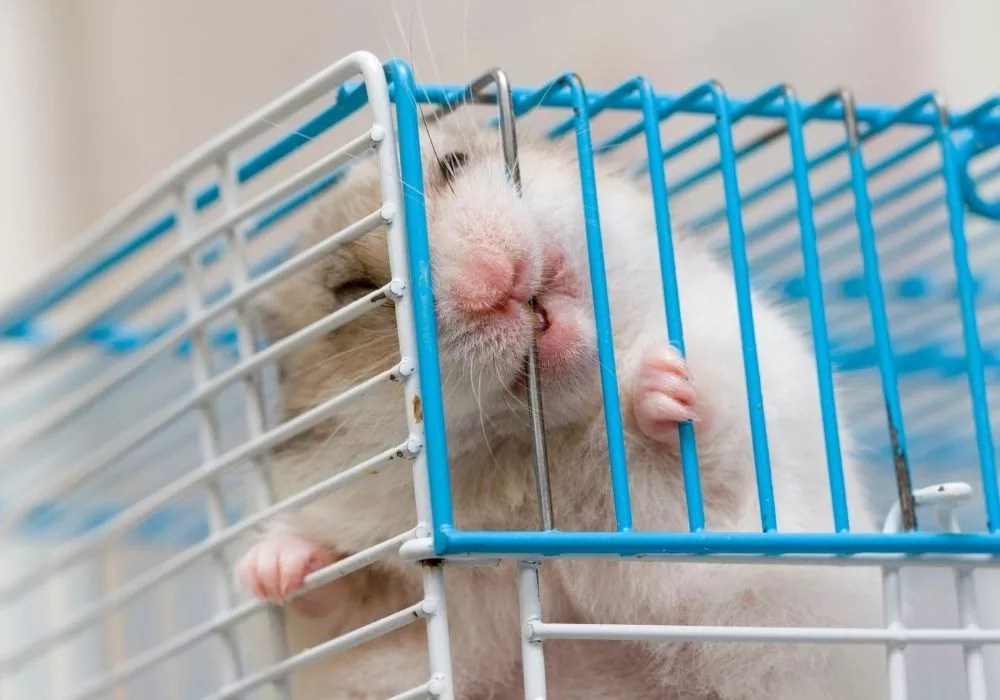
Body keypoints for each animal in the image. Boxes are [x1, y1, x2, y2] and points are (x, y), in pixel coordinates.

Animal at [234, 119, 887, 699]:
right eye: (355, 293)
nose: (489, 282)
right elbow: (339, 596)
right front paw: (270, 569)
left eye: (454, 165)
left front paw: (662, 379)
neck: (535, 459)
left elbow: (710, 452)